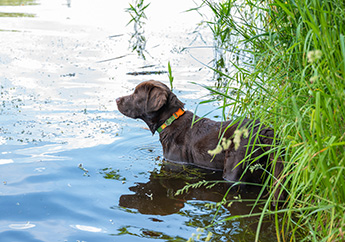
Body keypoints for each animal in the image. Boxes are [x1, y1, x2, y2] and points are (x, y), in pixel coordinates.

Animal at [115, 80, 284, 202]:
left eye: (135, 94)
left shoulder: (175, 162)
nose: (116, 99)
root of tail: (263, 130)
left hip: (234, 168)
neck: (171, 120)